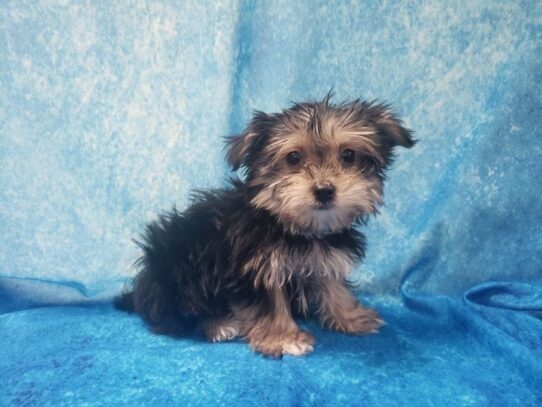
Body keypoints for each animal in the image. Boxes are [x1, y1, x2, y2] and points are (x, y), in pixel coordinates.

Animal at [116, 95, 416, 356]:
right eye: (293, 158)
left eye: (349, 155)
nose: (324, 191)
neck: (294, 227)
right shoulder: (256, 267)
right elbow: (270, 303)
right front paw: (284, 338)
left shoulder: (323, 256)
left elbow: (333, 286)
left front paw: (351, 317)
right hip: (181, 265)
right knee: (181, 313)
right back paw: (218, 325)